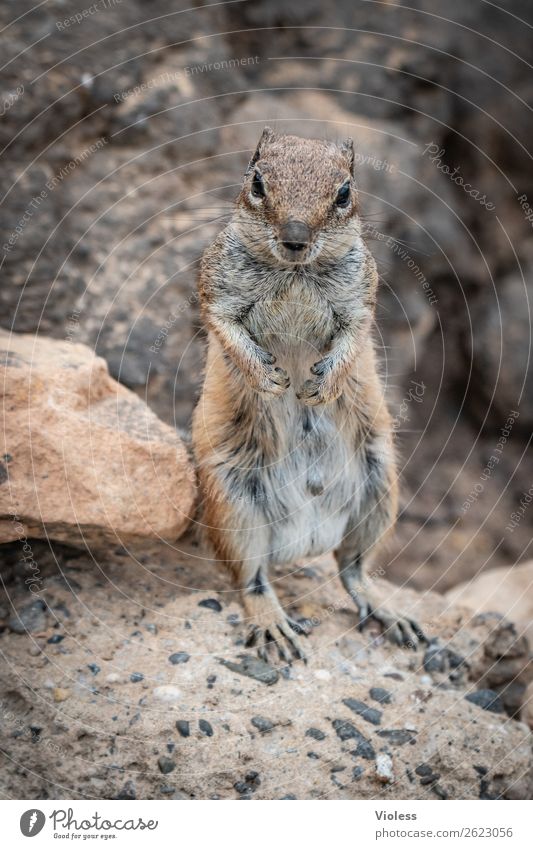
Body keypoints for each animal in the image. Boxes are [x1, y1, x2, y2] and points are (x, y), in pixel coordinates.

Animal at [191, 127, 424, 664]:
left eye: (344, 192)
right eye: (257, 182)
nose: (295, 238)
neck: (295, 273)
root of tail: (303, 541)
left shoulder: (362, 295)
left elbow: (354, 337)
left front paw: (319, 386)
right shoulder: (216, 287)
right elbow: (225, 327)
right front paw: (270, 378)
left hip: (379, 488)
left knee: (352, 568)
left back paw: (391, 613)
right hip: (232, 505)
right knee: (252, 579)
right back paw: (274, 625)